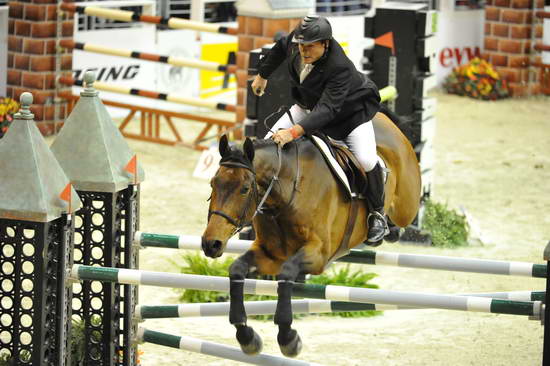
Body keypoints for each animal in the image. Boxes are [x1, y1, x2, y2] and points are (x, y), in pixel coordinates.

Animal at [203, 109, 422, 358]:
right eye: (213, 183)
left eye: (245, 189)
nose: (211, 244)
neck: (286, 193)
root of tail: (384, 119)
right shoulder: (271, 255)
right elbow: (237, 269)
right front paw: (247, 336)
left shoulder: (318, 255)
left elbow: (288, 273)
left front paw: (288, 338)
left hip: (406, 205)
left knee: (400, 211)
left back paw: (385, 227)